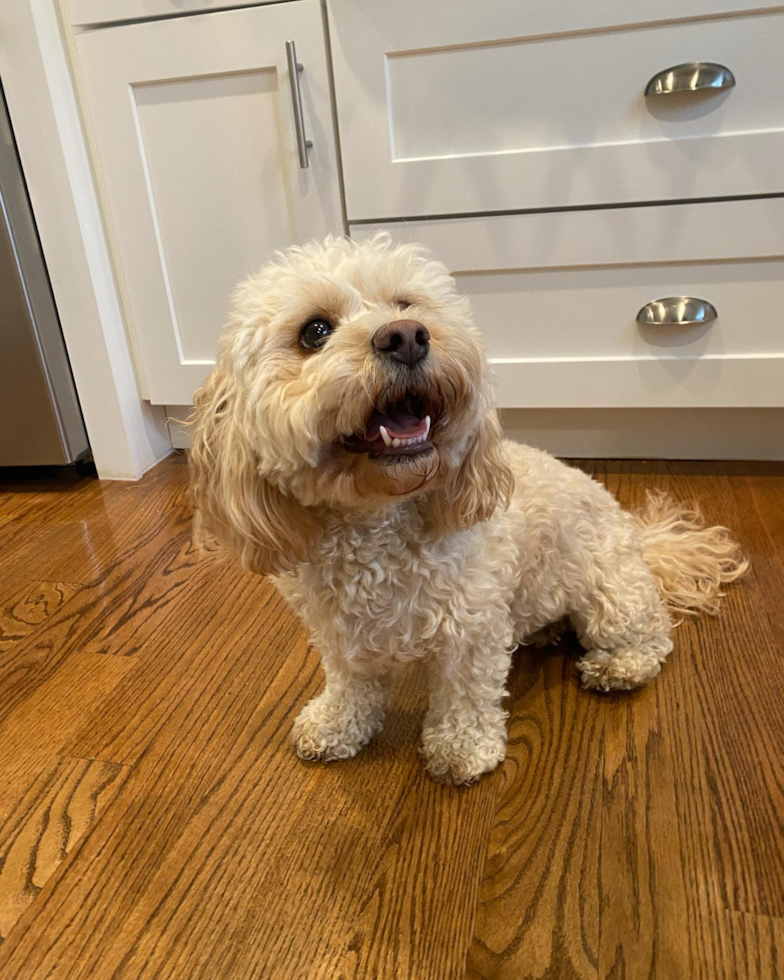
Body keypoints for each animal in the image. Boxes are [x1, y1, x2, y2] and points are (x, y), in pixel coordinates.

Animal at [190, 234, 748, 784]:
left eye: (405, 305)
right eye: (315, 332)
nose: (406, 336)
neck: (378, 523)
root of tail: (639, 535)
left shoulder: (472, 627)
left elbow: (465, 693)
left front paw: (461, 749)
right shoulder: (338, 631)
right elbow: (351, 684)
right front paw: (334, 724)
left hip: (611, 596)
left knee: (651, 637)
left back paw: (619, 666)